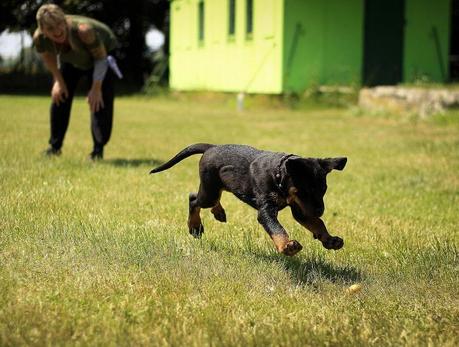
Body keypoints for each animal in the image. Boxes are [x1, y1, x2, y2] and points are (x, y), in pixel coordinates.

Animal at [149, 145, 346, 258]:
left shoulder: (300, 209)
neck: (278, 175)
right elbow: (277, 229)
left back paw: (218, 212)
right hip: (209, 190)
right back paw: (195, 226)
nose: (320, 210)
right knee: (193, 199)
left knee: (212, 198)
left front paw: (330, 240)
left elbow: (317, 223)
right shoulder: (266, 210)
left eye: (323, 190)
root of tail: (211, 147)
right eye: (306, 190)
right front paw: (287, 246)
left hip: (217, 186)